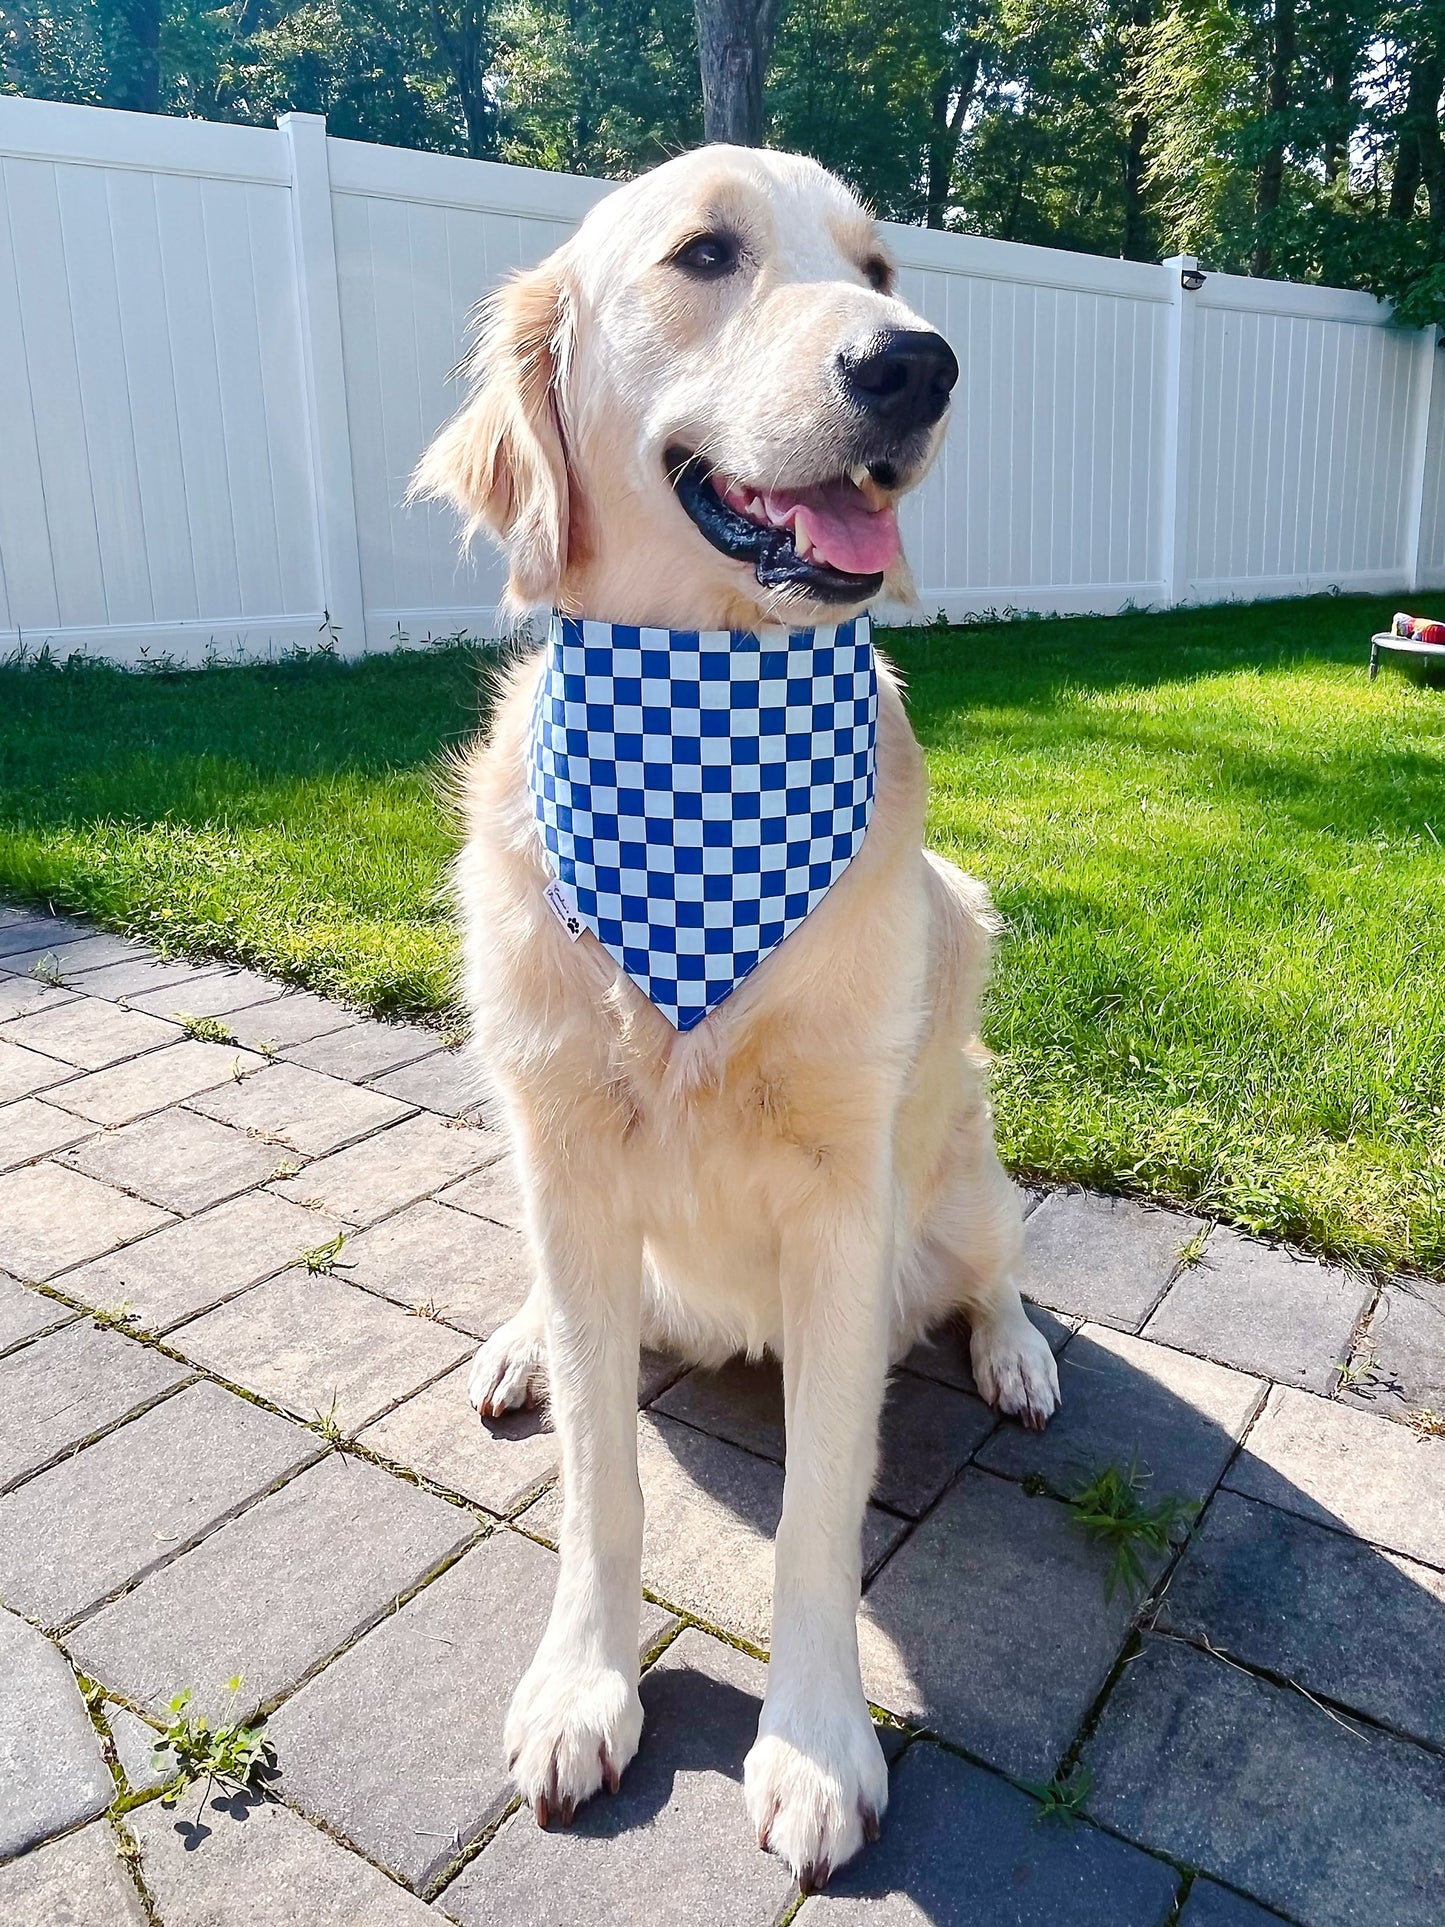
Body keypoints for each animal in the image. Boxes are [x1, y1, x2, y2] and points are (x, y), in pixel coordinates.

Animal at [412, 142, 1055, 1888]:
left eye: (880, 266)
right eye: (705, 253)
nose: (918, 364)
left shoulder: (842, 1200)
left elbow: (823, 1504)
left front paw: (818, 1742)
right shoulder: (566, 1158)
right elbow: (599, 1478)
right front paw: (584, 1680)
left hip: (962, 1168)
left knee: (994, 1264)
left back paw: (1017, 1349)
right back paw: (516, 1342)